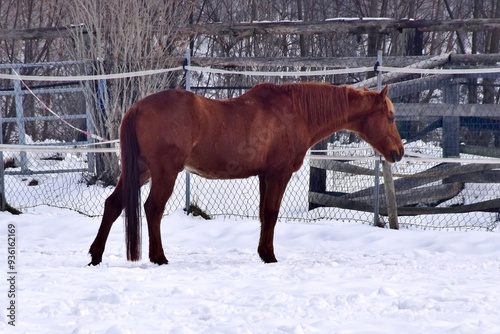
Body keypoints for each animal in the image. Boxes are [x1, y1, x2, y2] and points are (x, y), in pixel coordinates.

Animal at [88, 83, 404, 266]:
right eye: (389, 116)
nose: (399, 152)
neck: (294, 112)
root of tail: (137, 108)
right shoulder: (278, 174)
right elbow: (272, 214)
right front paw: (270, 256)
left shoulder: (264, 176)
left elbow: (265, 214)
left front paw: (263, 253)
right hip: (165, 173)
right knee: (152, 209)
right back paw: (159, 258)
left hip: (140, 171)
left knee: (113, 205)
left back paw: (96, 255)